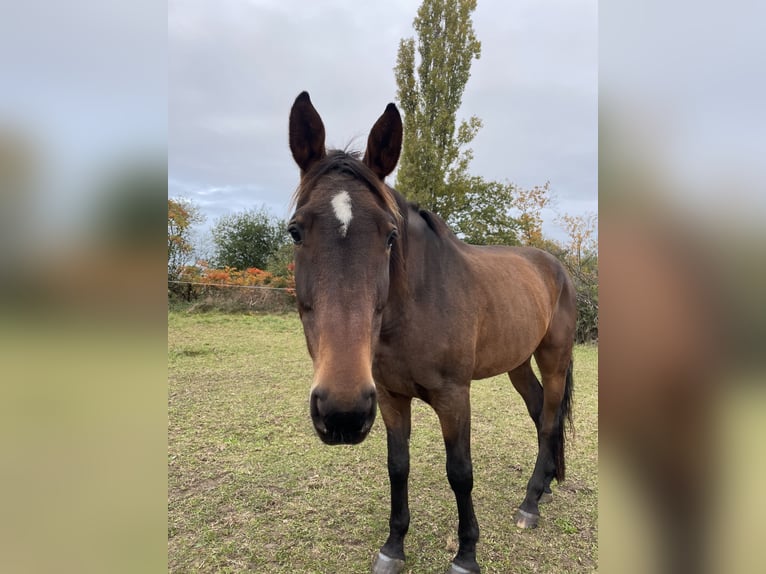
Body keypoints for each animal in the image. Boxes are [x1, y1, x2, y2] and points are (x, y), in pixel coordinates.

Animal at [288, 92, 576, 572]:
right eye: (295, 231)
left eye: (390, 235)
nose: (341, 412)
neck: (416, 306)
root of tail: (555, 265)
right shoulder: (388, 397)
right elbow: (397, 466)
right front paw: (393, 547)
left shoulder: (453, 396)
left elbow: (460, 472)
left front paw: (466, 554)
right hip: (518, 364)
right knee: (539, 415)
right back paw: (545, 487)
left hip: (554, 359)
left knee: (551, 419)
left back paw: (531, 504)